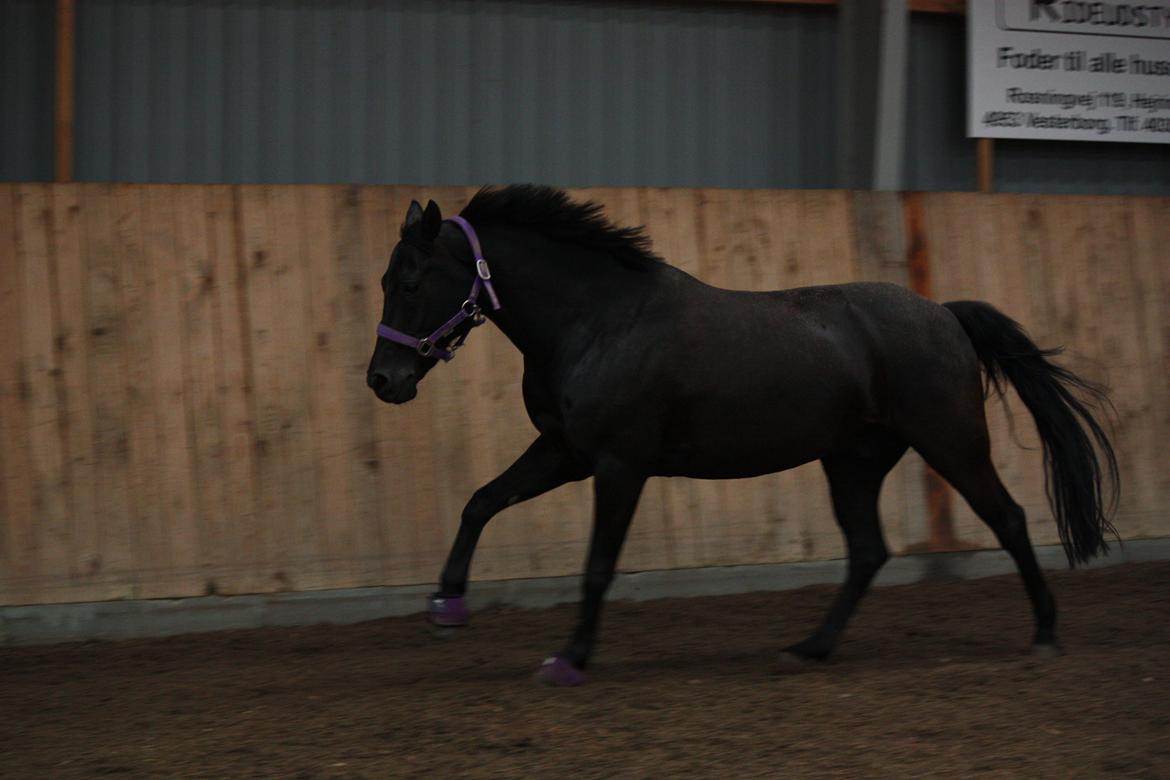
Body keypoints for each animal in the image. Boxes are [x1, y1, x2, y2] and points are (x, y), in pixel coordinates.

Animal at [366, 185, 1119, 687]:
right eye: (383, 280)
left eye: (412, 280)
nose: (383, 380)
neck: (597, 320)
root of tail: (944, 313)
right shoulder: (566, 452)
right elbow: (481, 502)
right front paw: (447, 608)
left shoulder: (619, 464)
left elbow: (597, 565)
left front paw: (568, 660)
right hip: (852, 461)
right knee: (868, 551)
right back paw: (809, 648)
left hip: (951, 442)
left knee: (1009, 519)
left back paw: (1045, 634)